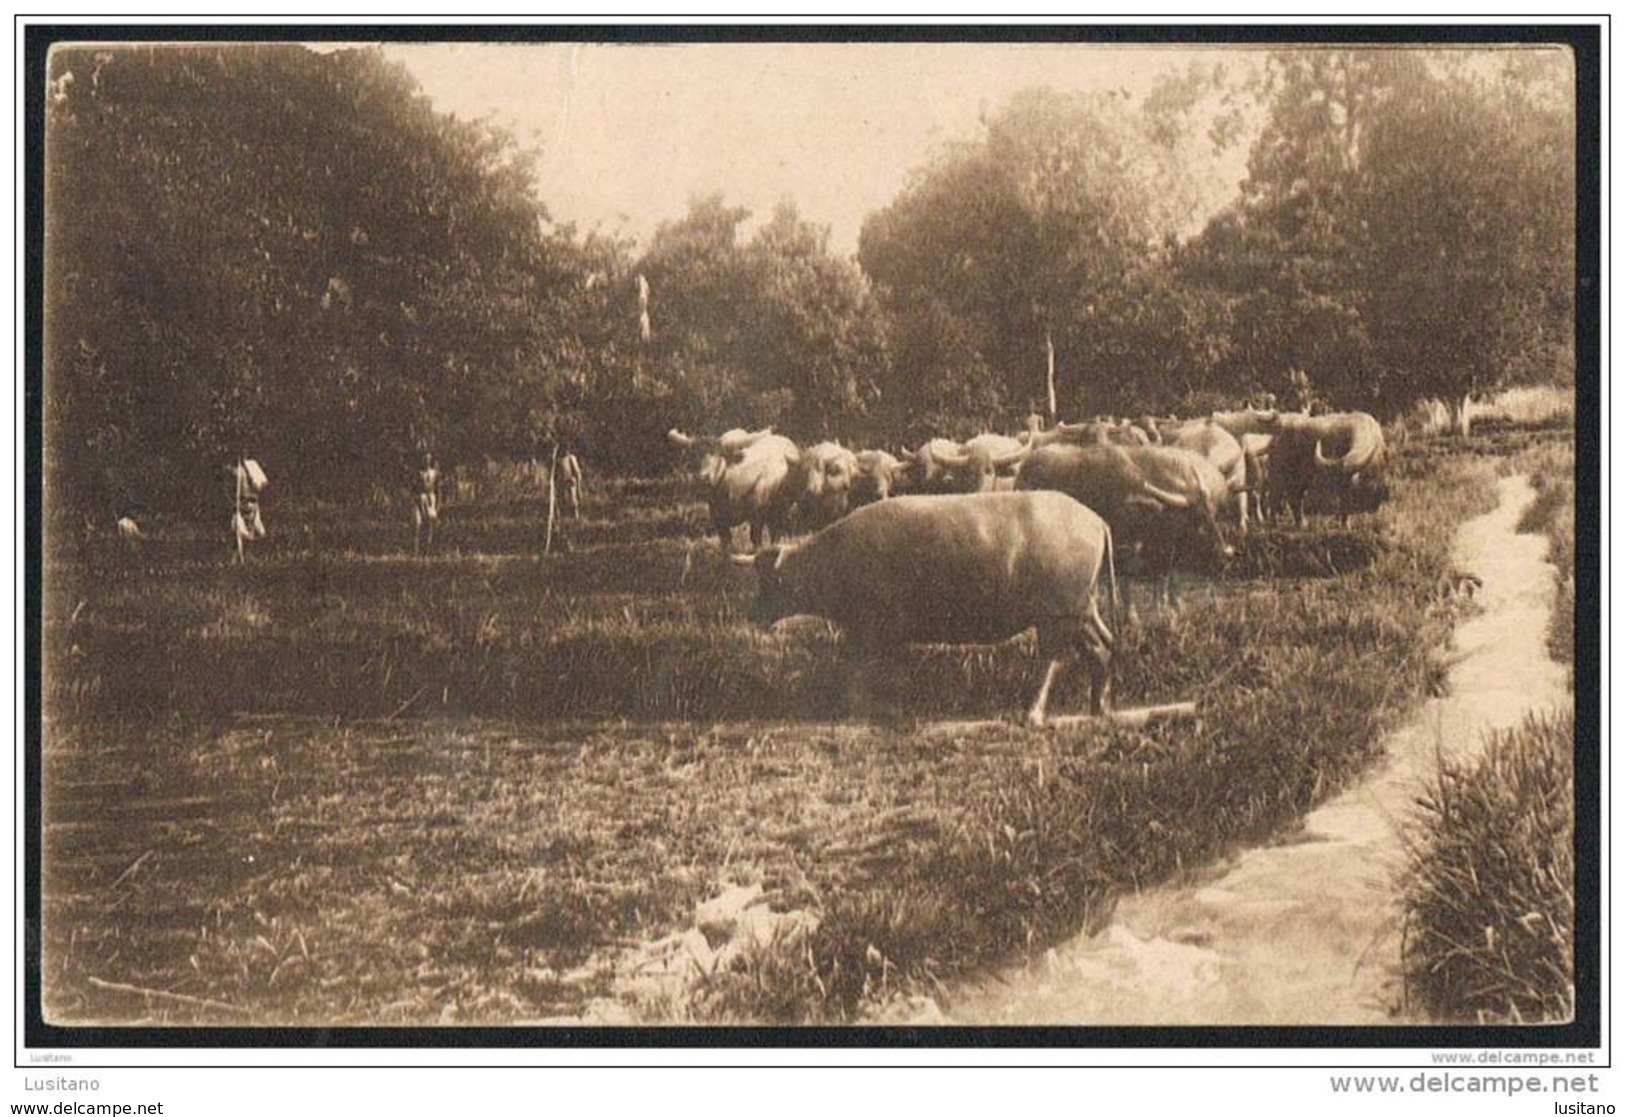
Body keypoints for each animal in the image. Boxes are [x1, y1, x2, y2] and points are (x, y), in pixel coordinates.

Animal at [666, 425, 806, 552]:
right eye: (693, 456)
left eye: (718, 456)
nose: (703, 477)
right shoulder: (718, 517)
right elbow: (726, 541)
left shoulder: (757, 512)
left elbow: (755, 538)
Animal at [741, 491, 1111, 725]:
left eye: (772, 580)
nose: (753, 612)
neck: (834, 561)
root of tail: (1097, 521)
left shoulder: (873, 627)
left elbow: (863, 666)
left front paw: (861, 709)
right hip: (1083, 610)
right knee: (1102, 646)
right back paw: (1099, 709)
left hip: (1057, 614)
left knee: (1053, 660)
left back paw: (1032, 715)